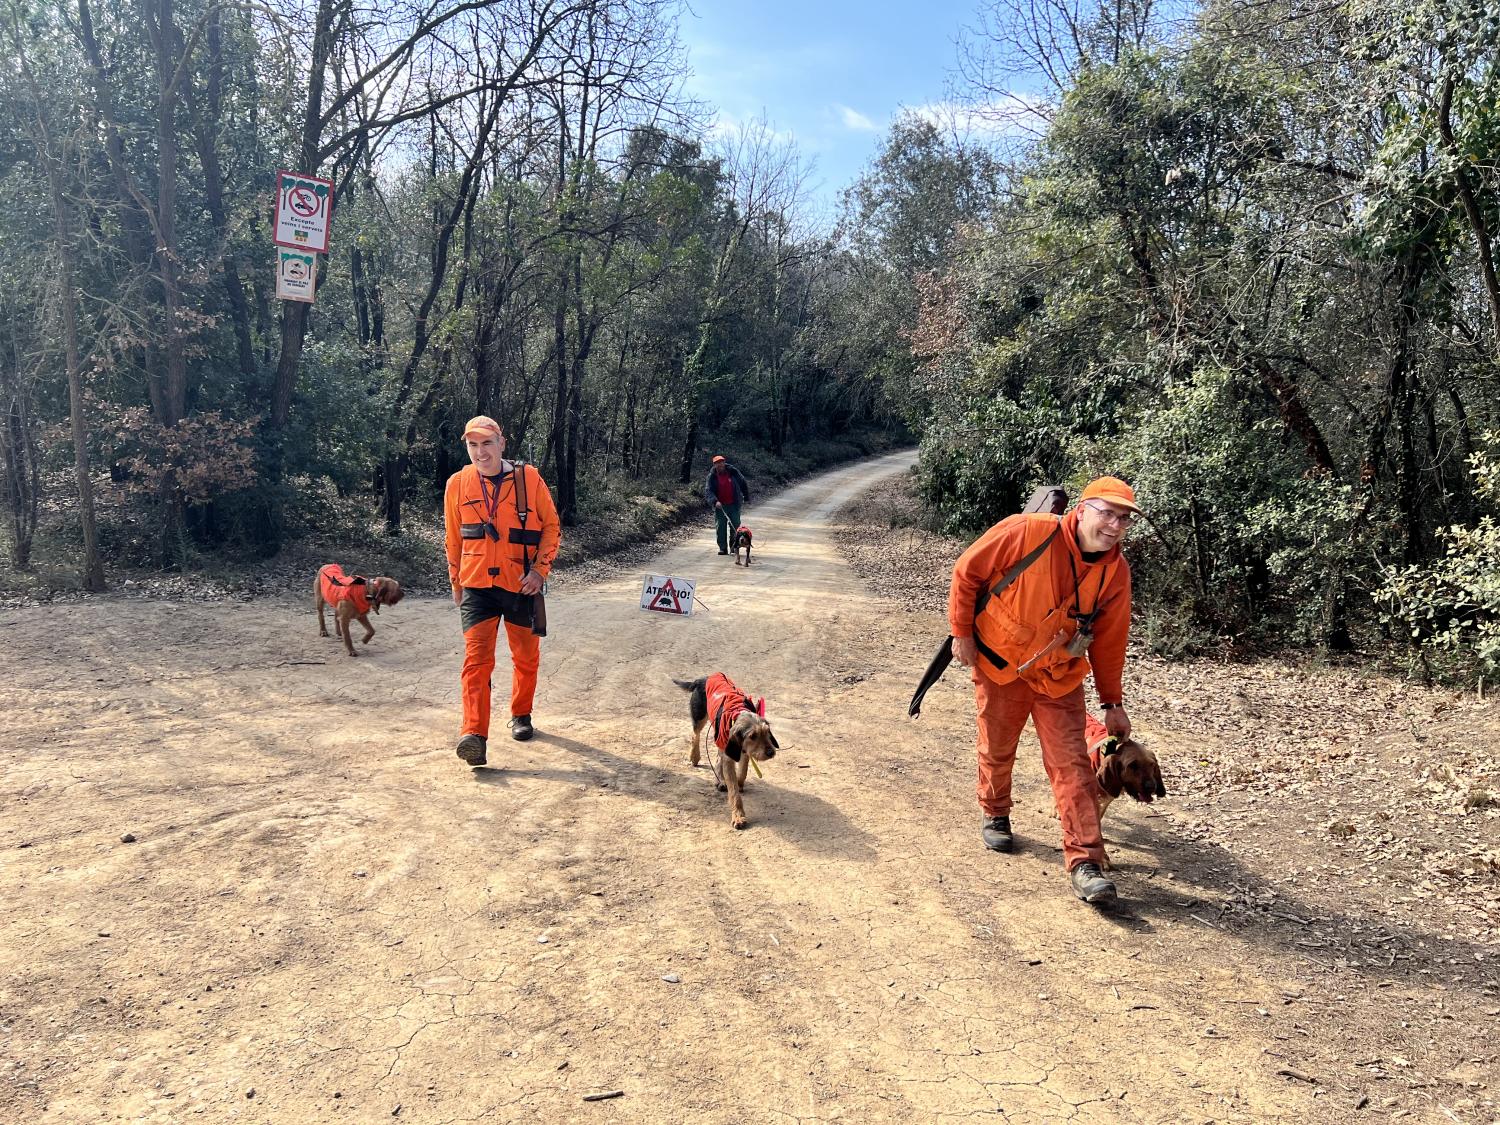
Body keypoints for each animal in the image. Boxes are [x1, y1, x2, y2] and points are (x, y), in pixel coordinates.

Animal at [675, 675, 780, 834]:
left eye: (767, 732)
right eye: (752, 736)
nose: (771, 752)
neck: (737, 712)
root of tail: (702, 679)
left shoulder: (743, 751)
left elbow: (742, 773)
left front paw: (739, 783)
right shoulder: (730, 754)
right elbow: (734, 791)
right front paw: (738, 816)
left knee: (718, 757)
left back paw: (720, 779)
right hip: (700, 719)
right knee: (696, 736)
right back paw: (695, 757)